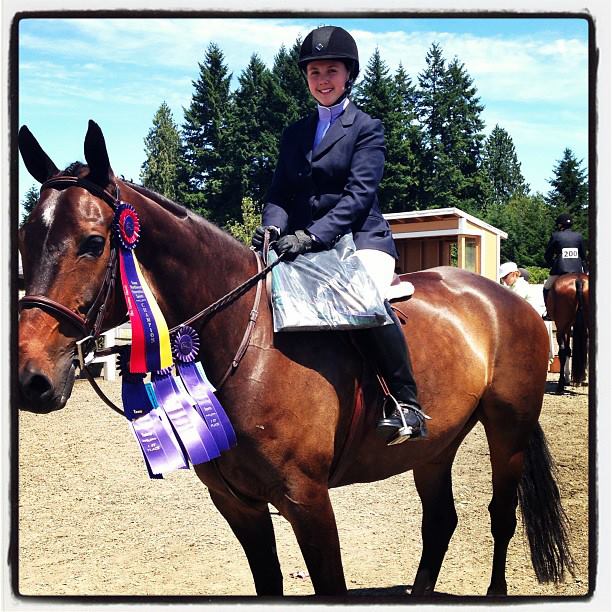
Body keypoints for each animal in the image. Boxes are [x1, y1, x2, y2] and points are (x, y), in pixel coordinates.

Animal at [17, 121, 574, 597]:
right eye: (24, 240)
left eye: (93, 243)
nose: (31, 380)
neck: (243, 343)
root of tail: (507, 299)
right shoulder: (237, 504)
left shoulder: (308, 501)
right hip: (435, 445)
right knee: (440, 521)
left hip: (508, 429)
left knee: (501, 516)